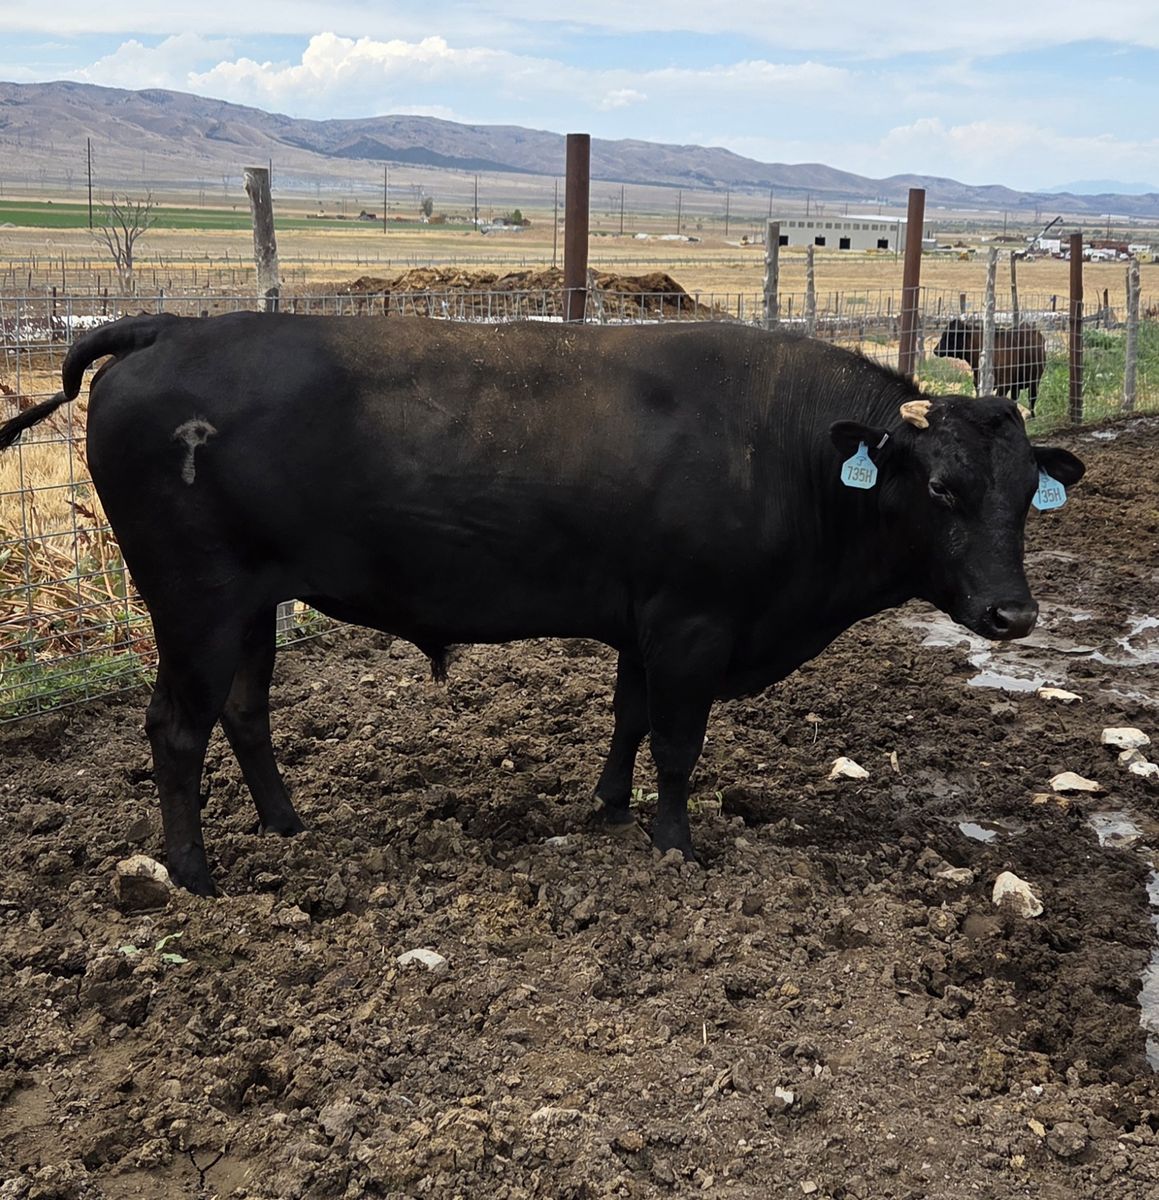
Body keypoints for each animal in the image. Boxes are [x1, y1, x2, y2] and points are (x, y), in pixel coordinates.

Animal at [0, 314, 1084, 896]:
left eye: (1024, 493)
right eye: (939, 488)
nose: (1012, 616)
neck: (784, 450)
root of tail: (171, 327)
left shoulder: (647, 622)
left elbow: (628, 719)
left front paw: (606, 808)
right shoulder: (691, 623)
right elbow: (676, 745)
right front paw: (674, 845)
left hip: (252, 608)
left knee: (245, 711)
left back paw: (285, 825)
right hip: (196, 603)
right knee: (176, 730)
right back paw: (193, 870)